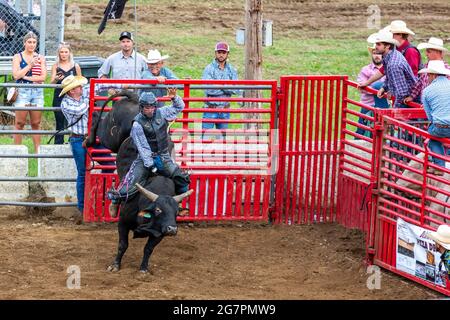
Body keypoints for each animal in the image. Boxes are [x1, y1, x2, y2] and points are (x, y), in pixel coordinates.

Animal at [83, 90, 192, 272]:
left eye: (176, 212)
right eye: (158, 210)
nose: (172, 229)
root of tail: (134, 99)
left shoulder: (159, 233)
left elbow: (148, 248)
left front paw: (143, 268)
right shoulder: (123, 223)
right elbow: (123, 245)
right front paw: (115, 265)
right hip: (111, 136)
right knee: (100, 122)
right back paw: (88, 139)